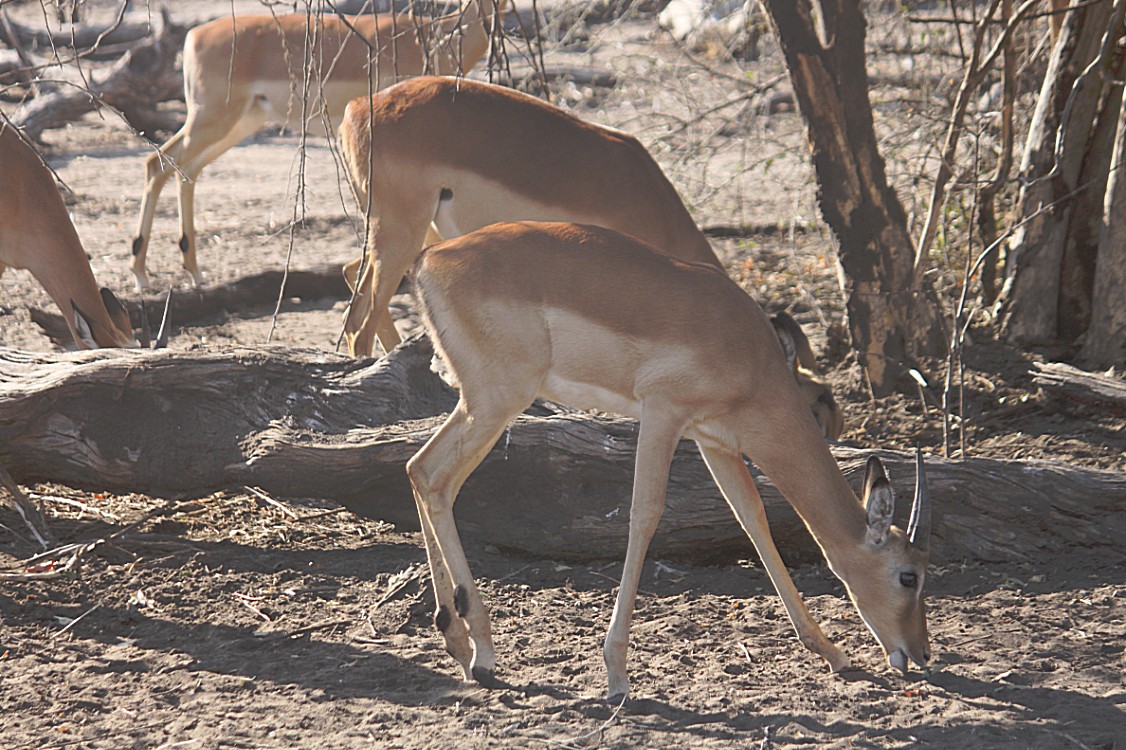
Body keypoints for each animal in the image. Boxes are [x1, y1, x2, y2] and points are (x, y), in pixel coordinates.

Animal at [127, 1, 506, 288]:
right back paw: (142, 274)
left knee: (184, 170)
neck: (434, 34)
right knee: (157, 164)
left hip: (238, 122)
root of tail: (194, 35)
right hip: (212, 119)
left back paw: (192, 270)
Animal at [342, 74, 846, 439]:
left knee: (355, 282)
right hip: (401, 232)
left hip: (406, 233)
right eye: (815, 401)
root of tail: (360, 108)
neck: (646, 195)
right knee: (360, 322)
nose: (829, 437)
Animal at [407, 219, 932, 698]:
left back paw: (461, 646)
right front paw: (616, 675)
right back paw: (484, 655)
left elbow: (754, 520)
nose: (921, 653)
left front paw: (831, 653)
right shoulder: (664, 413)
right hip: (499, 399)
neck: (749, 356)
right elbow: (645, 515)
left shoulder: (716, 442)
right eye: (909, 576)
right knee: (432, 474)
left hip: (482, 404)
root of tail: (431, 258)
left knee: (426, 475)